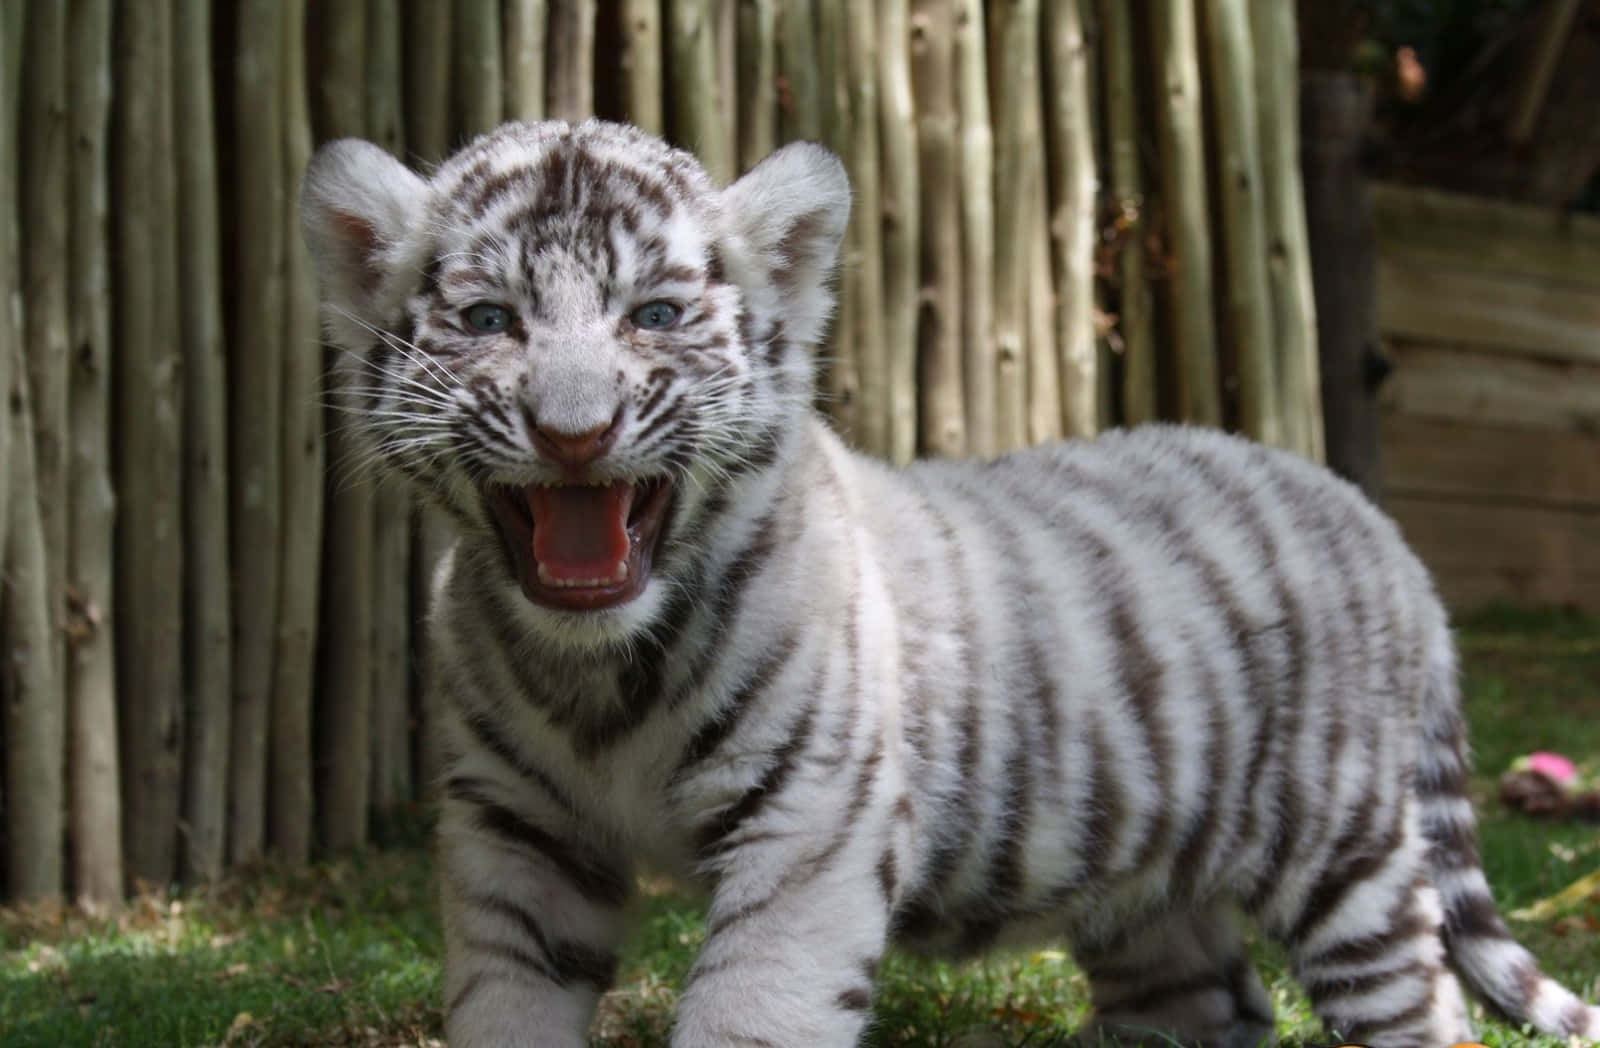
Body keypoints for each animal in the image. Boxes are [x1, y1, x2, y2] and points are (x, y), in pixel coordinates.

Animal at [299, 118, 1600, 1048]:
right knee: (1216, 1005)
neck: (596, 669)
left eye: (654, 314)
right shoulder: (516, 834)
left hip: (1343, 846)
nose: (575, 434)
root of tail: (1379, 526)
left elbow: (748, 1008)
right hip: (1152, 886)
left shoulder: (809, 821)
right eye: (489, 320)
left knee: (1418, 1007)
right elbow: (507, 1004)